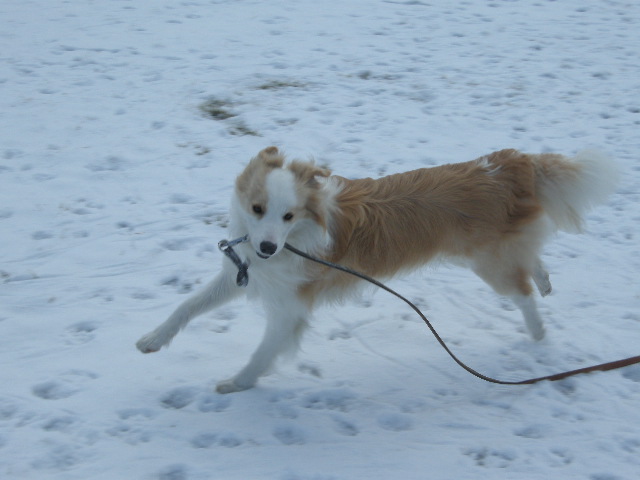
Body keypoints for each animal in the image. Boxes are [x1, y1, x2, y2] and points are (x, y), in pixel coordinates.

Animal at [138, 146, 616, 394]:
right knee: (530, 263)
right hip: (486, 253)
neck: (296, 238)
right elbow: (186, 307)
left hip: (487, 263)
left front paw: (238, 383)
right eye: (257, 209)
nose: (269, 247)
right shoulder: (249, 272)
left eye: (289, 215)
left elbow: (261, 353)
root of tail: (510, 162)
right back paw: (544, 279)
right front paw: (152, 340)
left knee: (522, 295)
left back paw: (537, 332)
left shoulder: (289, 308)